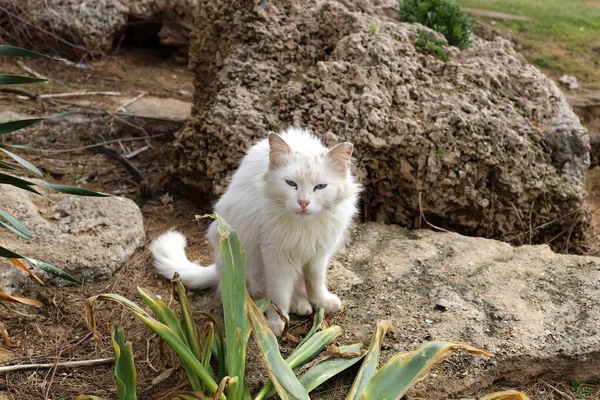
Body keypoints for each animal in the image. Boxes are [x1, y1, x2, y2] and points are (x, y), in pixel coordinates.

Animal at [150, 127, 360, 334]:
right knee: (264, 292)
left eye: (320, 186)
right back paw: (294, 306)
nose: (303, 202)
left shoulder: (318, 255)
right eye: (291, 184)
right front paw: (276, 324)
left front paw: (323, 302)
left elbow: (316, 283)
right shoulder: (276, 257)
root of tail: (218, 266)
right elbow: (278, 294)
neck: (304, 227)